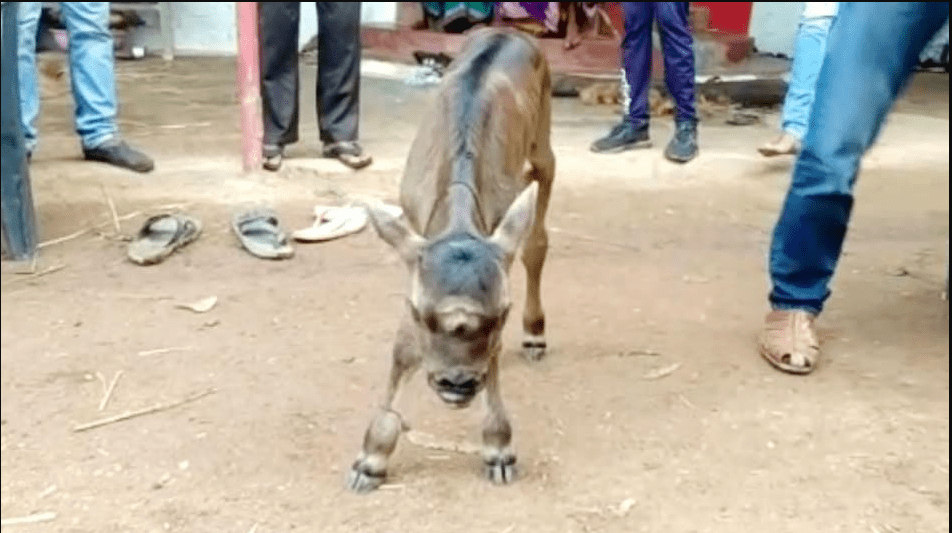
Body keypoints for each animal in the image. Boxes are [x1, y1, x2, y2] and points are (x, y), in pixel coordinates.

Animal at [346, 29, 556, 492]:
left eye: (502, 313)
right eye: (419, 312)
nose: (456, 384)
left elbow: (493, 352)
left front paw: (498, 447)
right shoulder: (411, 242)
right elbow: (404, 348)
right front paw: (371, 457)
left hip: (544, 141)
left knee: (537, 239)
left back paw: (535, 334)